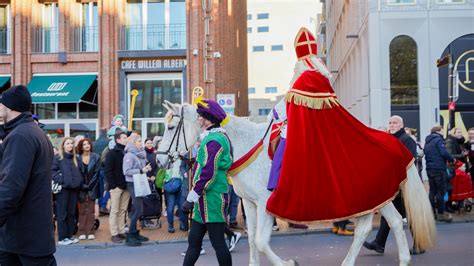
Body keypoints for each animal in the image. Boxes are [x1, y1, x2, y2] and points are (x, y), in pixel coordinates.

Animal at [158, 101, 436, 264]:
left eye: (171, 127)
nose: (160, 158)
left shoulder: (265, 203)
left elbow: (261, 241)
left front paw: (288, 263)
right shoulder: (249, 203)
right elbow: (253, 242)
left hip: (365, 195)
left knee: (368, 227)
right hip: (377, 196)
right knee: (392, 222)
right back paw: (400, 259)